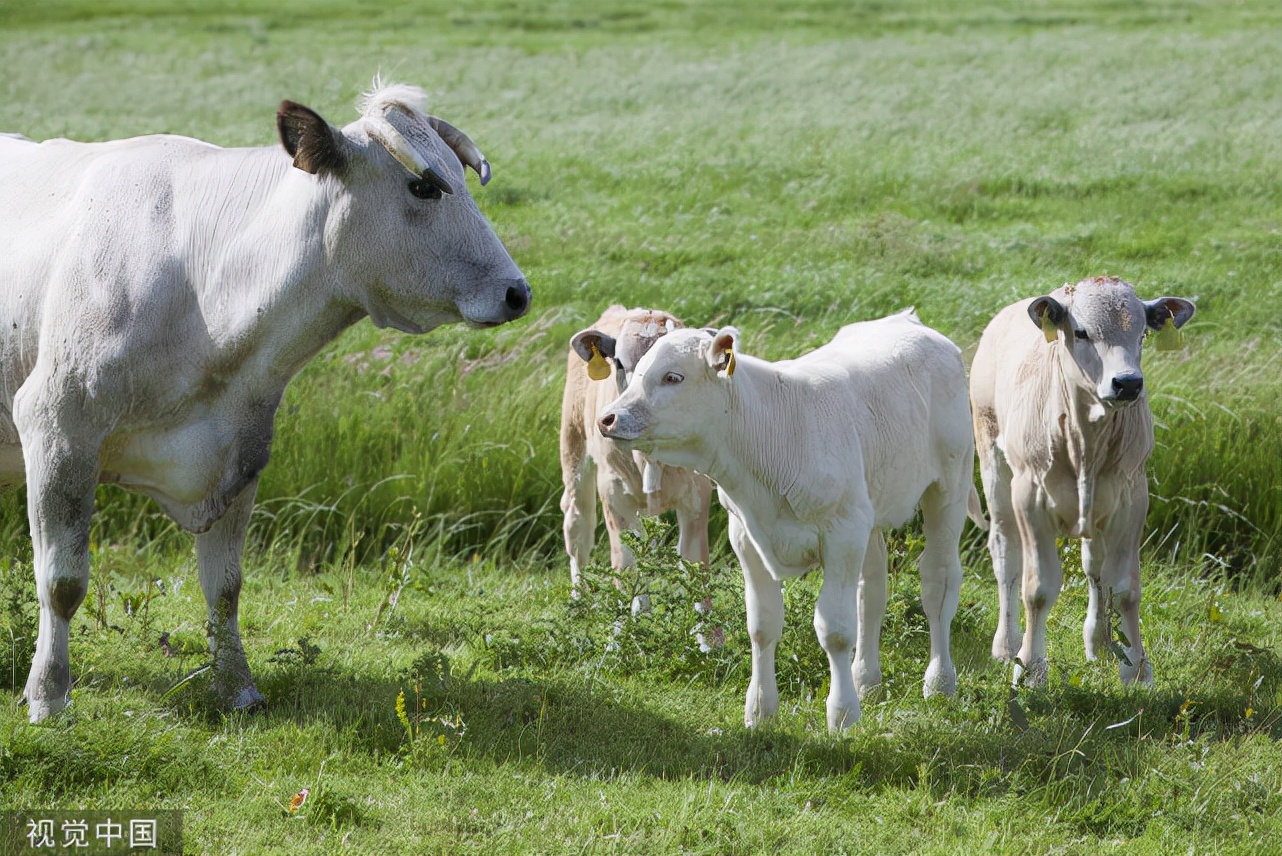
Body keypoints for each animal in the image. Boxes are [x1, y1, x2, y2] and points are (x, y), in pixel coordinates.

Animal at [0, 82, 530, 722]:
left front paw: (238, 690)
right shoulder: (58, 426)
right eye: (425, 187)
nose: (518, 292)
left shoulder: (239, 452)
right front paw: (48, 697)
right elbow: (62, 582)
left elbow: (225, 588)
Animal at [558, 306, 712, 589]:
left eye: (675, 374)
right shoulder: (614, 492)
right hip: (573, 446)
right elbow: (627, 567)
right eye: (619, 362)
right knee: (577, 527)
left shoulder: (698, 492)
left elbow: (695, 566)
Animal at [597, 311, 979, 732]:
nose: (607, 418)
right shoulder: (747, 536)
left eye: (672, 377)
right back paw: (867, 680)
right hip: (871, 511)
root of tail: (908, 320)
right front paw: (760, 710)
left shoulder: (842, 532)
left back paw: (939, 682)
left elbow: (835, 630)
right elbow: (762, 625)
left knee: (937, 582)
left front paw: (842, 714)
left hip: (950, 485)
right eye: (633, 371)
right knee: (872, 593)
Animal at [974, 275, 1194, 686]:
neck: (1085, 441)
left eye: (1142, 333)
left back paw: (1100, 644)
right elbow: (1038, 589)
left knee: (1095, 567)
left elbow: (1123, 587)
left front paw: (1136, 668)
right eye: (1081, 332)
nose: (1128, 383)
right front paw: (1030, 669)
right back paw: (1006, 644)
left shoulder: (1131, 497)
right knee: (1006, 556)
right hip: (994, 465)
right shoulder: (1030, 497)